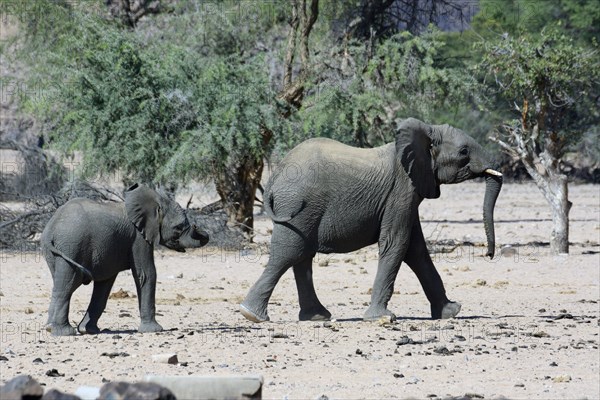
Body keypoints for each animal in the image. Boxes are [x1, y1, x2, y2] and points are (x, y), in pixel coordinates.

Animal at [39, 184, 209, 334]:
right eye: (179, 227)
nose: (196, 226)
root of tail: (50, 229)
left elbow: (105, 284)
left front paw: (89, 330)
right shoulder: (138, 237)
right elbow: (146, 274)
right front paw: (154, 330)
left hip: (57, 251)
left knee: (61, 282)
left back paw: (49, 327)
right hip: (72, 245)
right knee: (69, 283)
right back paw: (61, 331)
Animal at [239, 117, 502, 324]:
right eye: (464, 152)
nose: (488, 255)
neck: (425, 132)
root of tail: (276, 175)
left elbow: (416, 249)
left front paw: (451, 312)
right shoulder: (401, 191)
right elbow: (397, 244)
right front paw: (383, 318)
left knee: (301, 255)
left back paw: (315, 317)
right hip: (298, 206)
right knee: (290, 252)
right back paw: (252, 315)